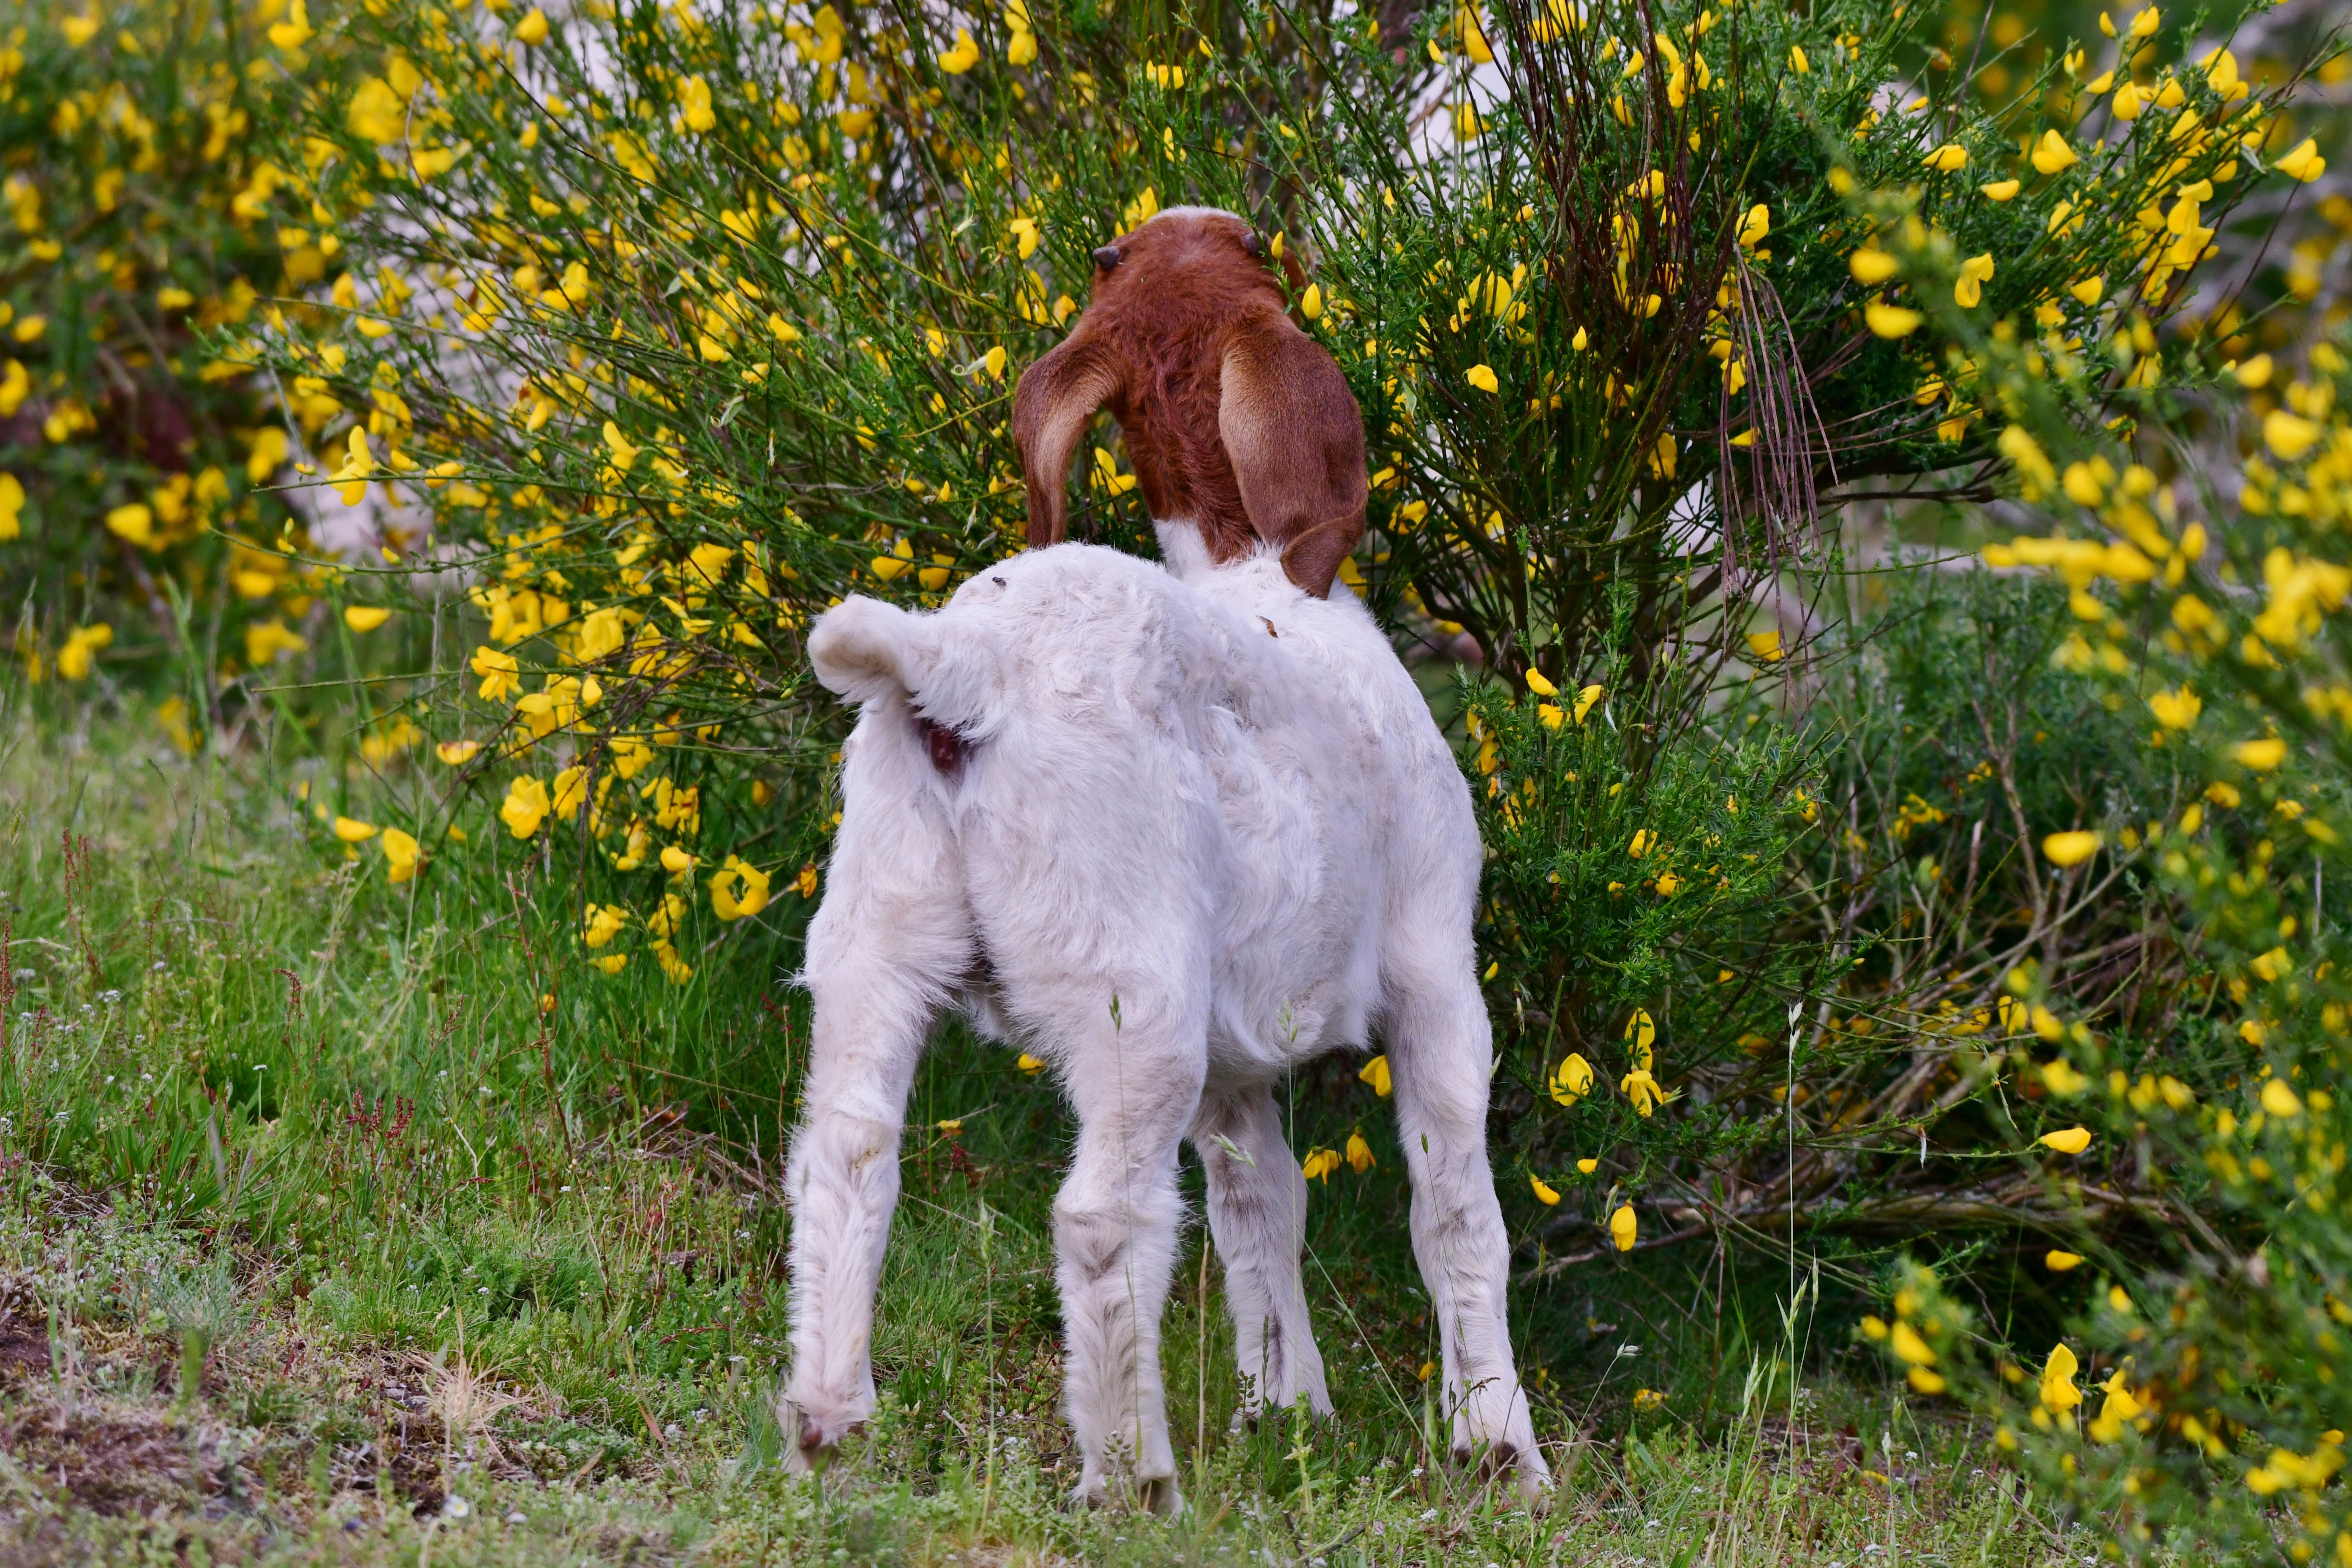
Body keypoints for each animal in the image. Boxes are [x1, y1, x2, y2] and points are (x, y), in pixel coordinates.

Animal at [783, 541, 1551, 1509]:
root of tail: (961, 659)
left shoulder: (1233, 1057)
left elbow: (1260, 1202)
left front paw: (1286, 1409)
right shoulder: (1436, 958)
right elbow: (1454, 1206)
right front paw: (1497, 1445)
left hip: (879, 924)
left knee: (847, 1152)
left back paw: (828, 1424)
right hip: (1128, 978)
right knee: (1102, 1215)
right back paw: (1130, 1478)